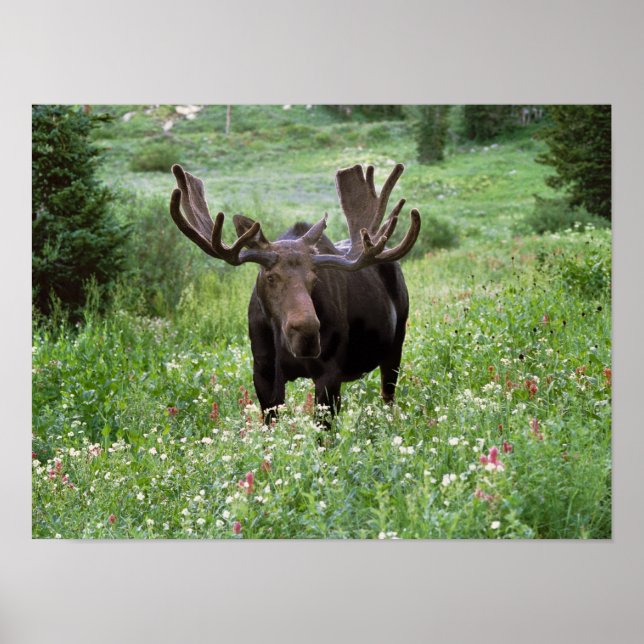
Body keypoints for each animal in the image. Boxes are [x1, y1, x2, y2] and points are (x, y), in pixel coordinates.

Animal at [169, 162, 421, 424]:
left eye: (315, 278)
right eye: (270, 277)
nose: (307, 333)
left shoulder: (330, 373)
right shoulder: (263, 371)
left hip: (396, 345)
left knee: (388, 397)